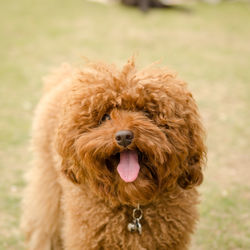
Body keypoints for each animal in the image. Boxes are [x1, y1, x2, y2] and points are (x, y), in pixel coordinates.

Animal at [21, 57, 206, 249]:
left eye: (146, 113)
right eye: (105, 117)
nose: (124, 137)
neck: (133, 203)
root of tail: (64, 76)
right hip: (48, 176)